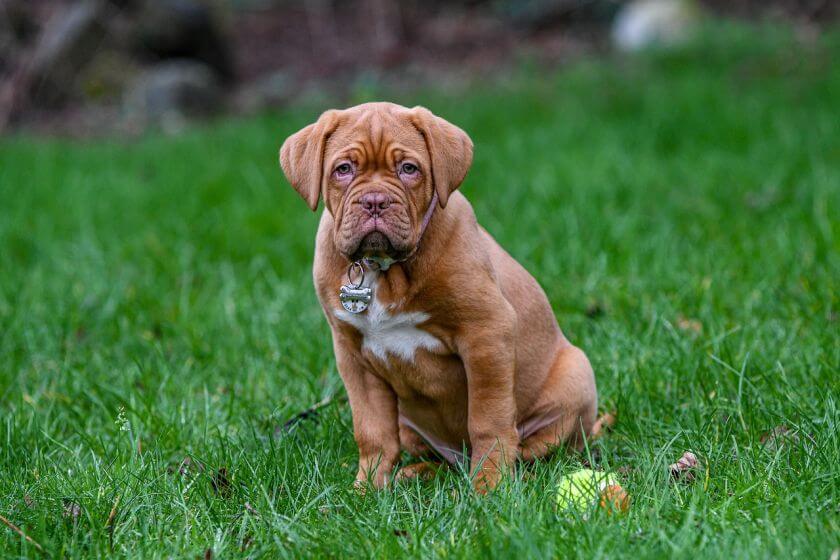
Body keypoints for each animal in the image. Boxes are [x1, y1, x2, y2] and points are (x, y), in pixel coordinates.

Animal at [280, 101, 596, 490]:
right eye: (343, 169)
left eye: (408, 168)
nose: (374, 201)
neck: (384, 269)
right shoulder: (353, 354)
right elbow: (372, 430)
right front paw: (367, 488)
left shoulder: (487, 333)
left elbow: (488, 419)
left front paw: (490, 486)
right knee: (434, 458)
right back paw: (414, 473)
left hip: (576, 375)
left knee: (534, 448)